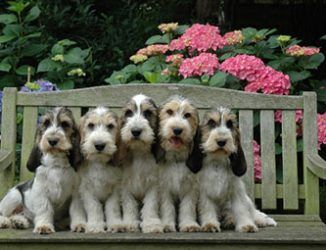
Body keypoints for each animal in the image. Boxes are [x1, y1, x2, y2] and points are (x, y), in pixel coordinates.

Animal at [119, 94, 162, 232]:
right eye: (128, 113)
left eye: (148, 113)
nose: (136, 131)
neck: (138, 152)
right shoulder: (125, 185)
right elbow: (129, 205)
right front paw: (129, 223)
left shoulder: (154, 184)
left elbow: (150, 204)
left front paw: (151, 224)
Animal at [155, 95, 201, 232]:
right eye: (169, 111)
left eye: (187, 115)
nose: (177, 129)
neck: (176, 159)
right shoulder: (164, 188)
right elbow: (167, 207)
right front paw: (167, 225)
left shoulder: (191, 187)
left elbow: (187, 207)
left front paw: (189, 224)